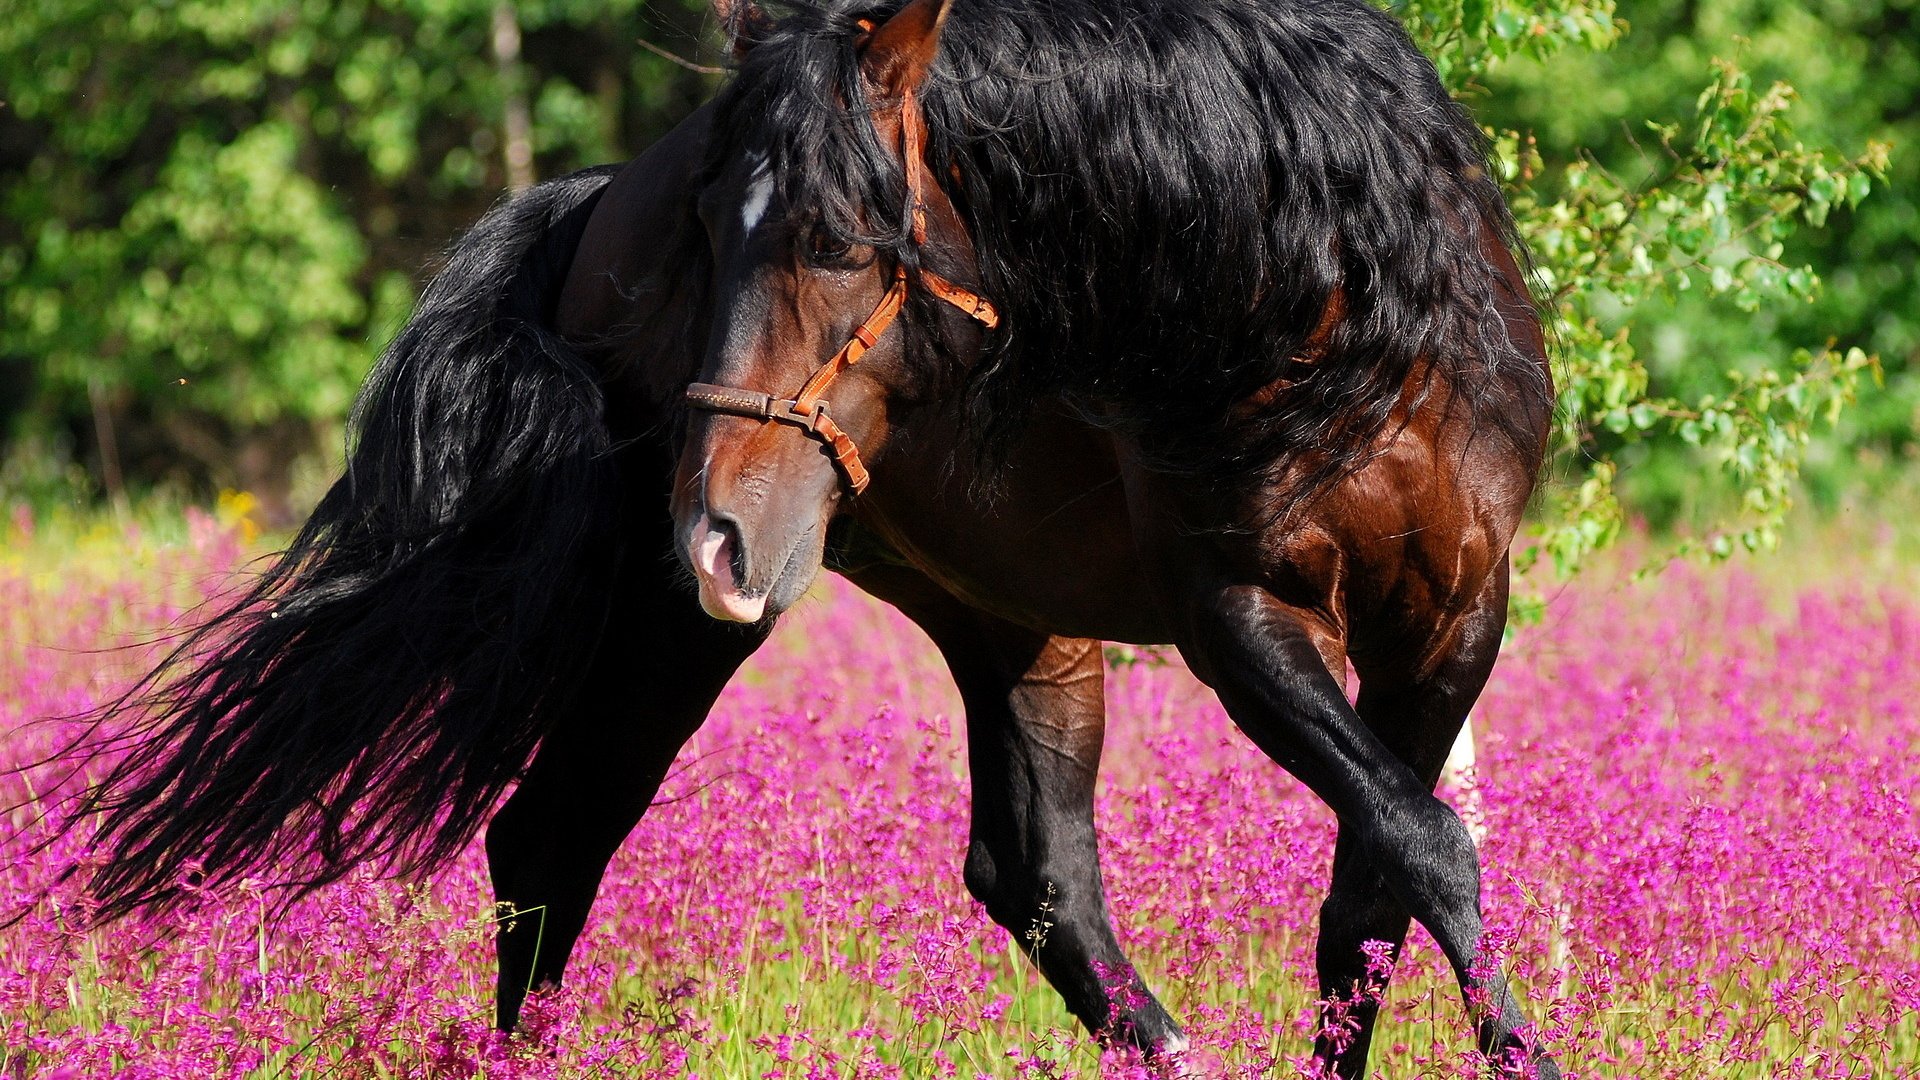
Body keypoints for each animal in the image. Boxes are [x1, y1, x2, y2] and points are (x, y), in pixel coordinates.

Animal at [63, 4, 1559, 1068]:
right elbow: (1426, 845)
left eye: (842, 242)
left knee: (1040, 881)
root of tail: (589, 201)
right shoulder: (1241, 621)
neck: (1316, 312)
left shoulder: (1450, 619)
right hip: (687, 623)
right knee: (552, 838)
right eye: (709, 243)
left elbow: (1374, 895)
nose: (713, 530)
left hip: (1008, 621)